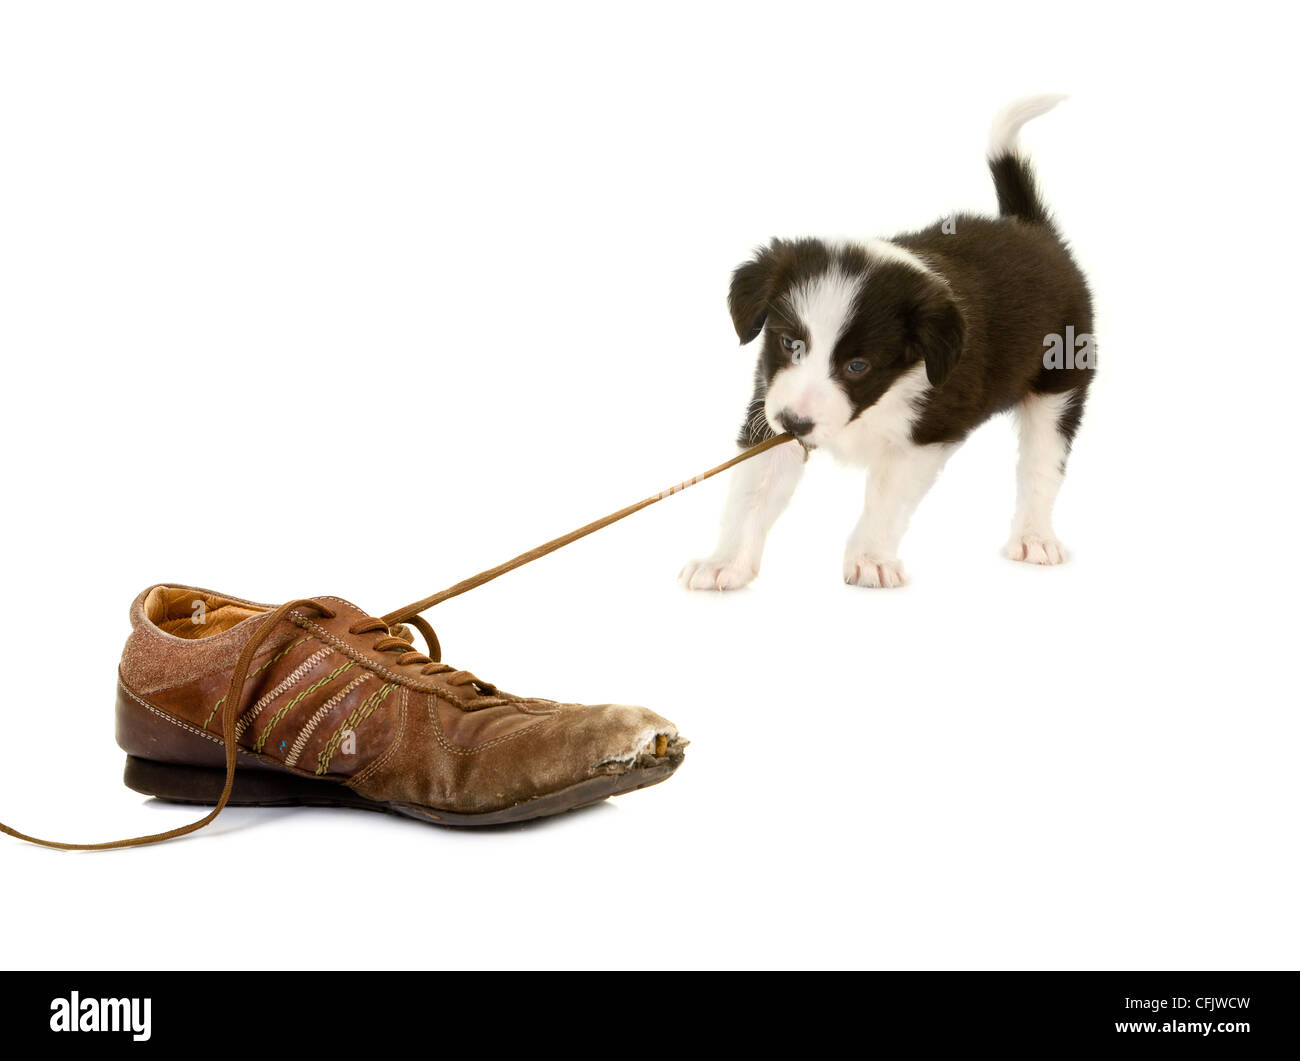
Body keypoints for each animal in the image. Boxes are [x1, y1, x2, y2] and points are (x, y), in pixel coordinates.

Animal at [681, 95, 1097, 592]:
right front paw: (724, 562)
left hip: (1060, 381)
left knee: (1042, 462)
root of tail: (1030, 228)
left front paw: (870, 559)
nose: (797, 423)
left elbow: (886, 497)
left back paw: (1034, 537)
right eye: (790, 344)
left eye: (858, 366)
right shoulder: (768, 410)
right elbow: (751, 493)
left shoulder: (928, 432)